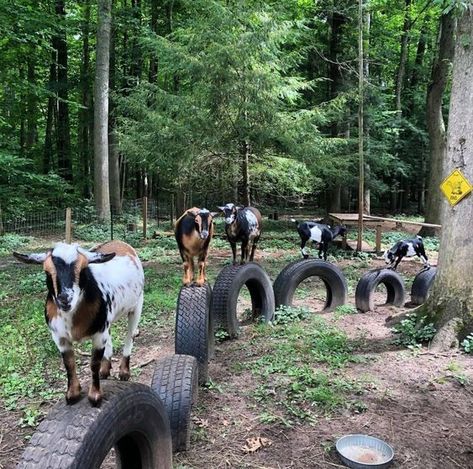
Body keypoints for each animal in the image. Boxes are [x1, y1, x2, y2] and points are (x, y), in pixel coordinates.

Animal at [13, 239, 144, 404]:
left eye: (82, 270)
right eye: (47, 271)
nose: (64, 299)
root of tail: (118, 241)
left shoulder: (99, 334)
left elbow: (94, 363)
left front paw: (95, 396)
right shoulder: (59, 337)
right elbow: (69, 364)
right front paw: (72, 394)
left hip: (137, 304)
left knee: (130, 336)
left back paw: (124, 372)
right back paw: (105, 370)